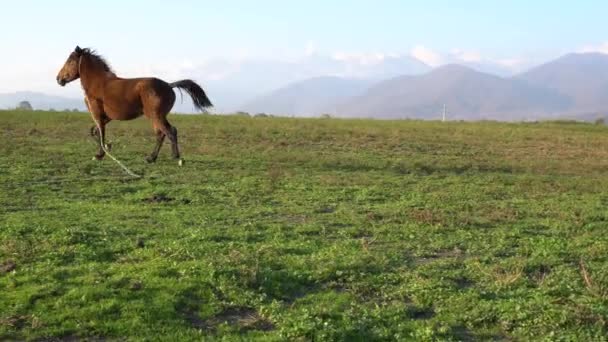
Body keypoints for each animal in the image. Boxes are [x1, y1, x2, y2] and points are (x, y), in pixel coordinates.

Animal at [56, 45, 214, 164]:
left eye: (70, 61)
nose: (59, 79)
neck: (98, 83)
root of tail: (169, 85)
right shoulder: (107, 117)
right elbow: (94, 131)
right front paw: (108, 146)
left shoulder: (98, 115)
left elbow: (100, 132)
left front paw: (99, 154)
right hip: (157, 116)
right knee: (161, 134)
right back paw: (151, 158)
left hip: (155, 116)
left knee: (170, 131)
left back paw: (176, 158)